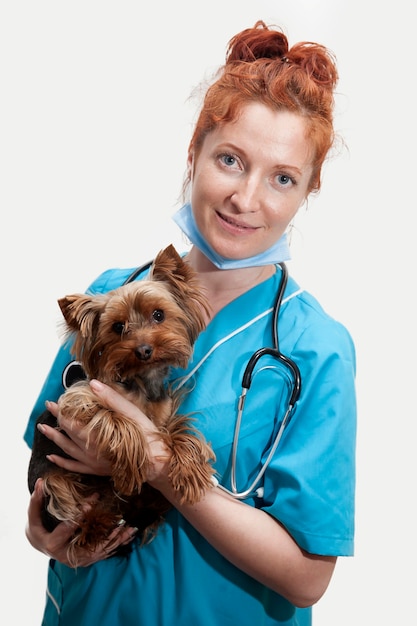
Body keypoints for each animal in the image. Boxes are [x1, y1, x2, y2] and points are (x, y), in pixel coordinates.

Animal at [27, 244, 214, 564]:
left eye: (158, 314)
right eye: (117, 327)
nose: (144, 350)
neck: (141, 381)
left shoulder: (162, 417)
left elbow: (177, 433)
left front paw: (190, 469)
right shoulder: (80, 400)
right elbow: (118, 420)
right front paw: (133, 464)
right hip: (52, 484)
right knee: (70, 513)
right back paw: (94, 527)